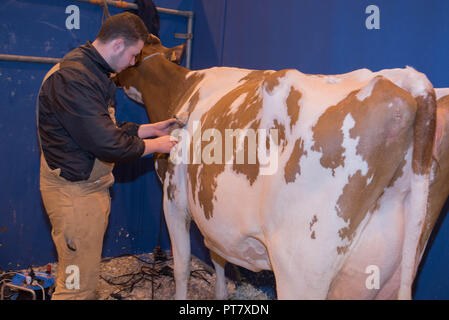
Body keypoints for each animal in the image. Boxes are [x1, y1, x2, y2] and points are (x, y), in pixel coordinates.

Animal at [115, 35, 440, 300]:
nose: (115, 77)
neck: (183, 88)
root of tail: (405, 84)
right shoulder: (213, 215)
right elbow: (217, 256)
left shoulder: (173, 199)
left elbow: (182, 266)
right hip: (387, 271)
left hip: (301, 267)